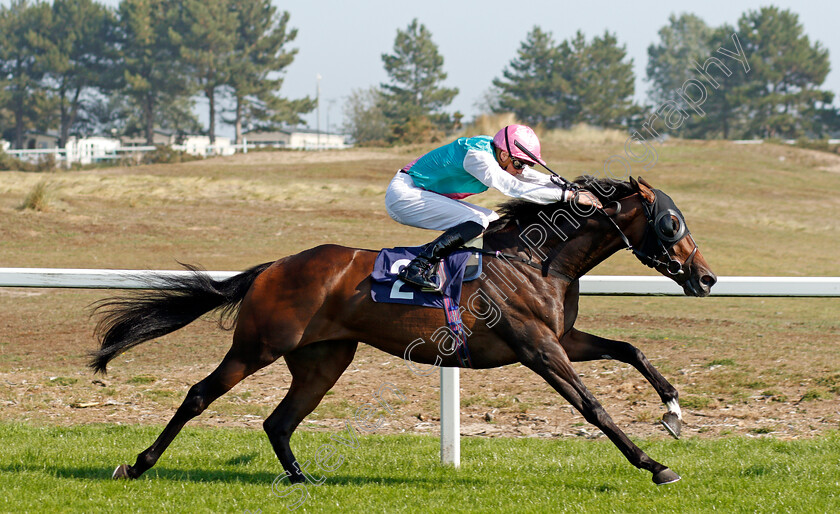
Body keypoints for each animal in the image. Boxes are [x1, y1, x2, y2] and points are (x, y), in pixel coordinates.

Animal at [97, 176, 716, 484]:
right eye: (671, 221)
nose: (706, 277)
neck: (537, 260)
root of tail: (272, 267)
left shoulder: (561, 339)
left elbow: (629, 349)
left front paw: (673, 411)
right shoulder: (538, 349)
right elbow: (593, 407)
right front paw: (654, 466)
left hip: (324, 359)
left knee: (279, 421)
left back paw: (301, 480)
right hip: (258, 346)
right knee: (199, 395)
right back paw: (139, 464)